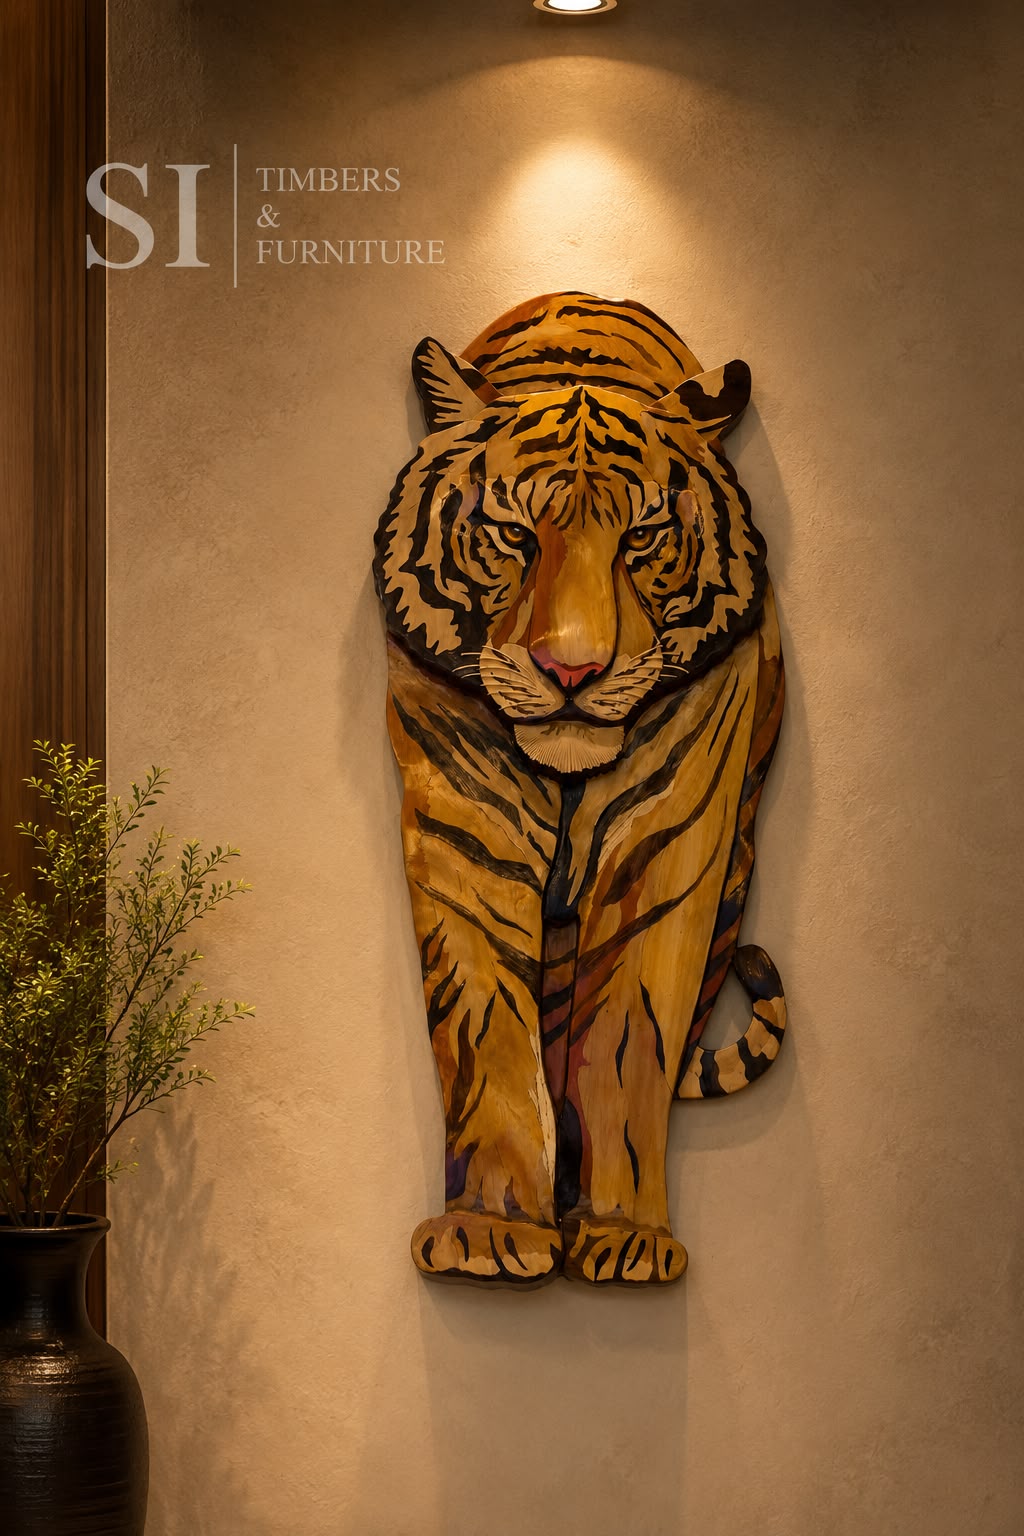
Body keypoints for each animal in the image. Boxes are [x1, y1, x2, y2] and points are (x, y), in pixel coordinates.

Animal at [373, 292, 786, 1287]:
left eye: (641, 538)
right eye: (515, 535)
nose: (571, 671)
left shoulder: (667, 848)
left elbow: (629, 1039)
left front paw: (627, 1235)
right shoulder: (465, 838)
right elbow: (485, 1026)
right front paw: (490, 1231)